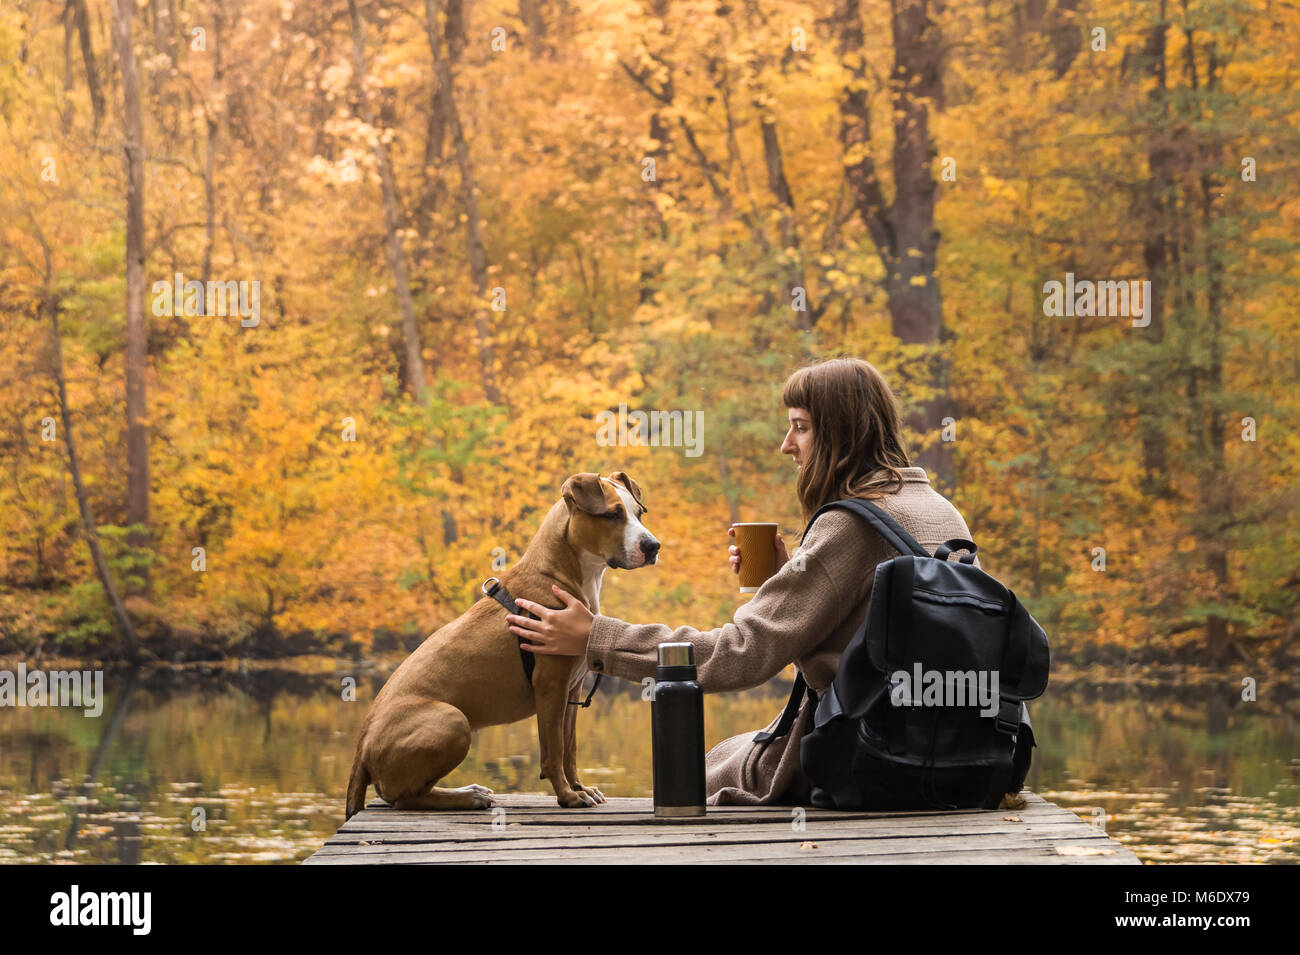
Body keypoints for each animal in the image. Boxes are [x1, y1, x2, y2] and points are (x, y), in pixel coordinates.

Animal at [343, 470, 660, 815]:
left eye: (639, 513)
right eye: (612, 514)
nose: (653, 546)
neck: (560, 573)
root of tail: (360, 749)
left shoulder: (571, 690)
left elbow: (570, 749)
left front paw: (579, 788)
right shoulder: (551, 686)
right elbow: (553, 751)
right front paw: (567, 795)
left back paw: (467, 791)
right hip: (452, 720)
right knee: (403, 797)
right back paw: (466, 797)